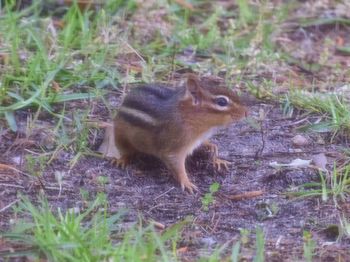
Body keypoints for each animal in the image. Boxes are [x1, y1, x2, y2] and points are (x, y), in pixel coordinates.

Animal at [112, 73, 246, 192]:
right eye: (222, 102)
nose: (246, 112)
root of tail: (123, 103)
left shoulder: (198, 139)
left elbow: (208, 144)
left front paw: (216, 156)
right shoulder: (174, 146)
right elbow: (177, 165)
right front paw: (186, 182)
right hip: (120, 137)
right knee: (125, 151)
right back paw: (121, 160)